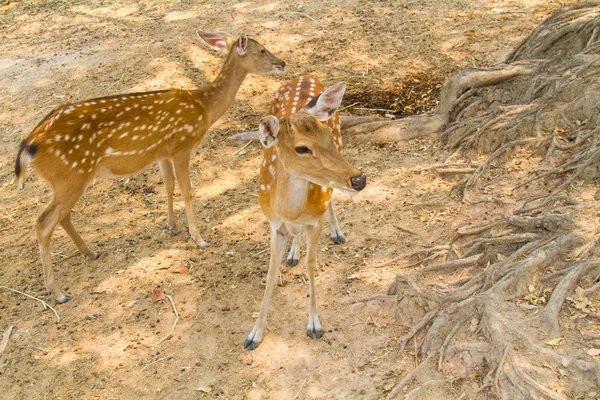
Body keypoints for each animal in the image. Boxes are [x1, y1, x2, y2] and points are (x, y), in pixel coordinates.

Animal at [14, 32, 286, 304]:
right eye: (262, 50)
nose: (282, 63)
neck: (204, 108)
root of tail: (28, 146)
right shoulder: (181, 146)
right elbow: (187, 190)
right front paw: (199, 239)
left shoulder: (162, 153)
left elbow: (168, 185)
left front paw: (172, 226)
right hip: (71, 175)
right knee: (43, 222)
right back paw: (58, 292)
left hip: (69, 180)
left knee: (62, 216)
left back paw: (91, 253)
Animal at [243, 78, 366, 350]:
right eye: (301, 148)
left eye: (327, 135)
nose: (359, 179)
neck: (288, 209)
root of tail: (306, 76)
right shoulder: (274, 224)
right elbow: (270, 273)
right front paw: (254, 334)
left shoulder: (314, 220)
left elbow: (311, 265)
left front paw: (314, 324)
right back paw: (292, 254)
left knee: (330, 199)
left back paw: (337, 232)